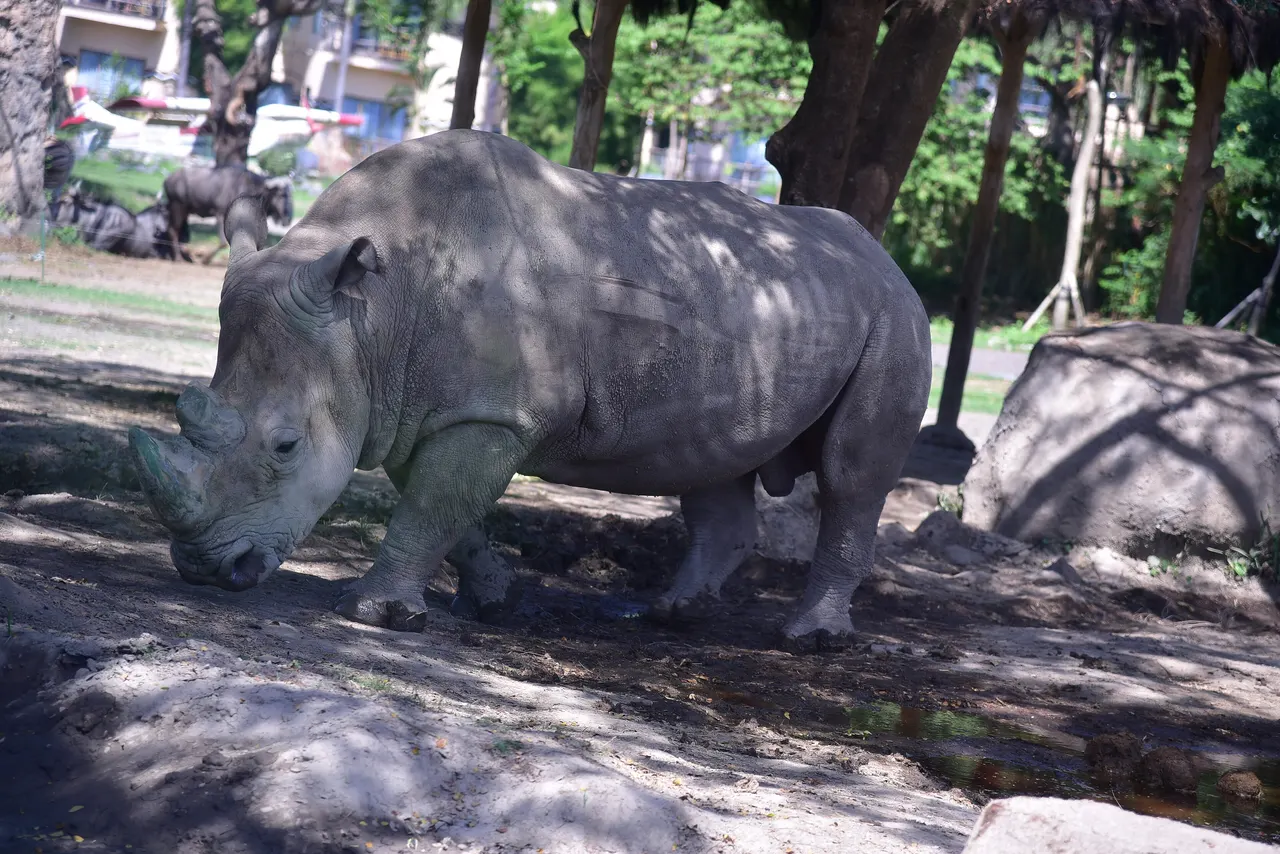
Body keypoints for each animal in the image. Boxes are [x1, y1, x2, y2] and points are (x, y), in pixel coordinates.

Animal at [128, 130, 931, 649]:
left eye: (287, 447)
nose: (207, 570)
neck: (369, 317)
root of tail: (885, 258)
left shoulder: (485, 415)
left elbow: (432, 504)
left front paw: (373, 615)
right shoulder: (427, 404)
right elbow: (441, 506)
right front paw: (489, 601)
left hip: (895, 316)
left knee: (852, 478)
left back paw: (809, 640)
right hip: (770, 307)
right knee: (713, 467)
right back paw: (673, 615)